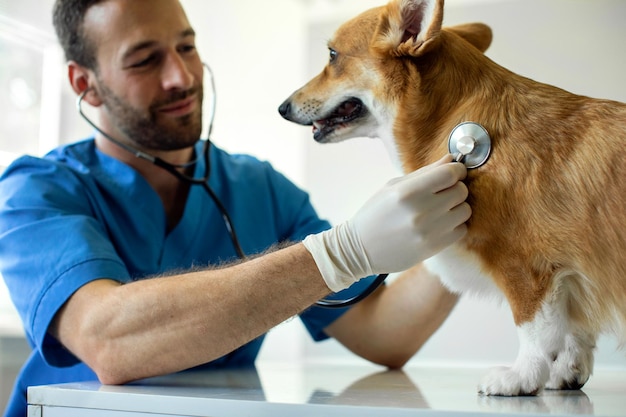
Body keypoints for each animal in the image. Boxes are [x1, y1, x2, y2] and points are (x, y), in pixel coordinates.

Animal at [278, 0, 624, 394]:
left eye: (333, 55)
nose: (282, 107)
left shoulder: (528, 267)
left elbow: (535, 331)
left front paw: (521, 377)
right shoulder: (575, 275)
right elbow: (576, 330)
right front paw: (566, 372)